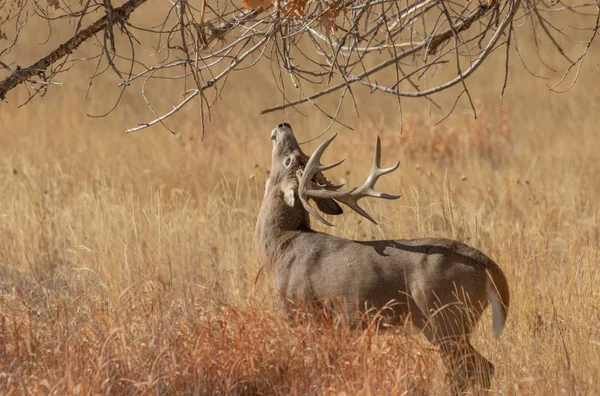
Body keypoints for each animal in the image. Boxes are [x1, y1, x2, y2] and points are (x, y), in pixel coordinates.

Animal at [254, 124, 510, 392]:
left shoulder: (298, 311)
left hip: (445, 316)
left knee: (472, 369)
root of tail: (487, 264)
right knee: (480, 368)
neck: (281, 247)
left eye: (289, 159)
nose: (283, 125)